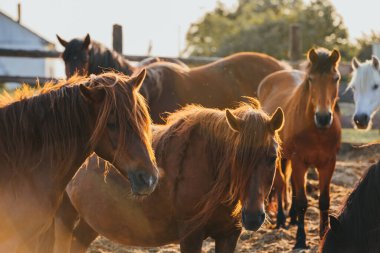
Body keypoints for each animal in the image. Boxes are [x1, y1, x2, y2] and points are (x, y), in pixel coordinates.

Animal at [52, 98, 282, 253]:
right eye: (237, 158)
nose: (253, 216)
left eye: (272, 157)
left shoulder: (228, 235)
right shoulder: (191, 235)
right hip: (65, 216)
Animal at [258, 48, 342, 249]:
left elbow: (324, 201)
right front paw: (300, 241)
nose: (323, 117)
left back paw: (293, 218)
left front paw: (323, 234)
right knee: (281, 183)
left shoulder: (328, 163)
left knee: (291, 185)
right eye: (311, 79)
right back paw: (281, 219)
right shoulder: (299, 162)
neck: (318, 131)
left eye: (336, 78)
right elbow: (303, 202)